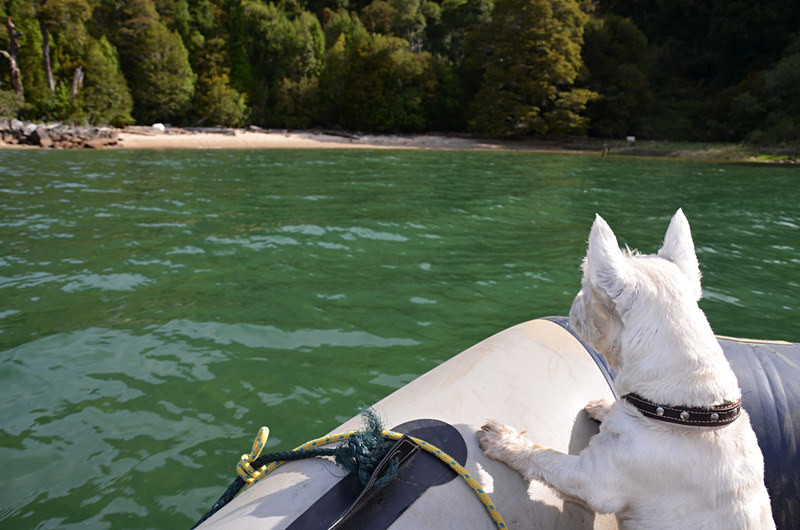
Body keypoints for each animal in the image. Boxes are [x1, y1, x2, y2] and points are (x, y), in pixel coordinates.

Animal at [478, 208, 772, 524]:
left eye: (587, 290)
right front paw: (605, 407)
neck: (689, 411)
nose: (575, 301)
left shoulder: (592, 480)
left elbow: (545, 457)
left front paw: (505, 442)